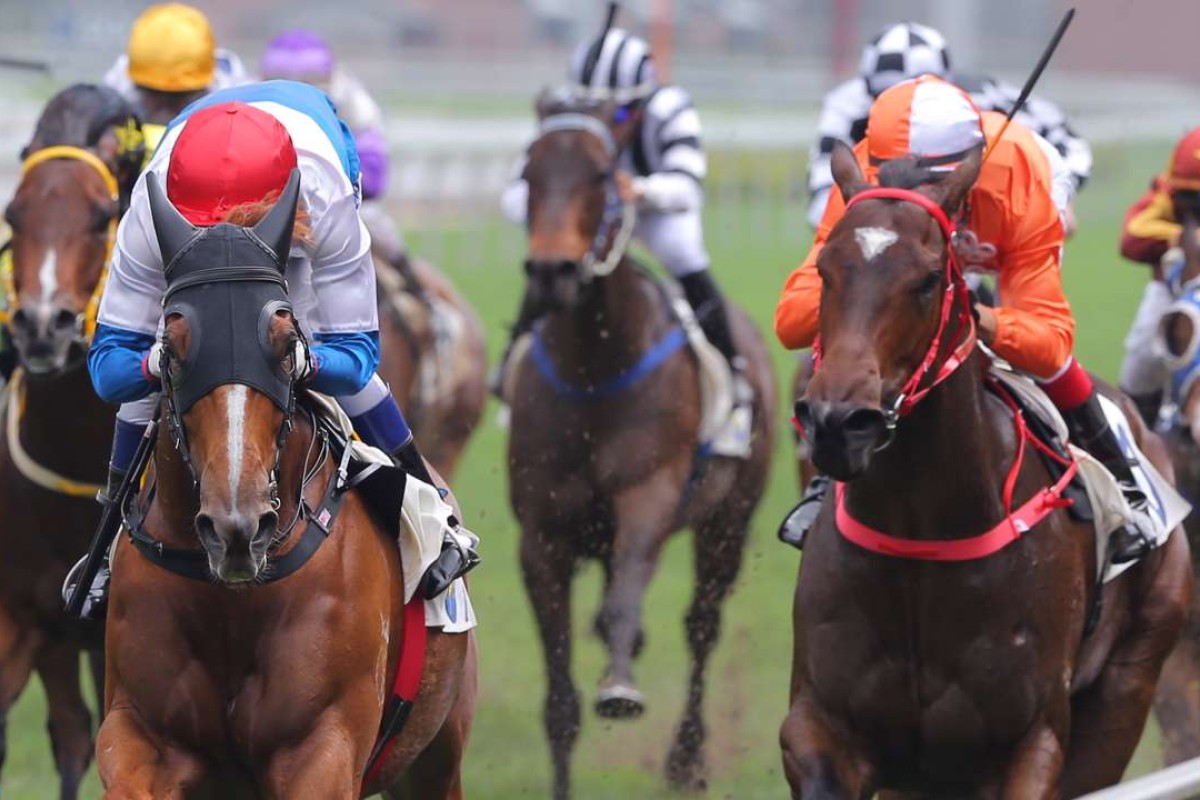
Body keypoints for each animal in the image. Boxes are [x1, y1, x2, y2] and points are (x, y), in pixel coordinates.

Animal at [96, 173, 476, 799]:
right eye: (173, 349)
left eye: (283, 343)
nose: (237, 528)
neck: (230, 598)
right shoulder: (140, 733)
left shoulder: (321, 749)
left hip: (436, 753)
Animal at [507, 97, 776, 799]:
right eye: (529, 172)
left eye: (603, 176)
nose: (552, 272)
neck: (594, 370)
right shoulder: (542, 535)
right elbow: (560, 699)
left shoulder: (648, 497)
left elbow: (628, 595)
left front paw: (622, 686)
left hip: (727, 523)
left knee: (701, 626)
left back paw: (686, 756)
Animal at [780, 144, 1191, 798]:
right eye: (824, 269)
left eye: (927, 279)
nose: (839, 423)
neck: (919, 539)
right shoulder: (819, 726)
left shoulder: (1032, 743)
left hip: (1131, 679)